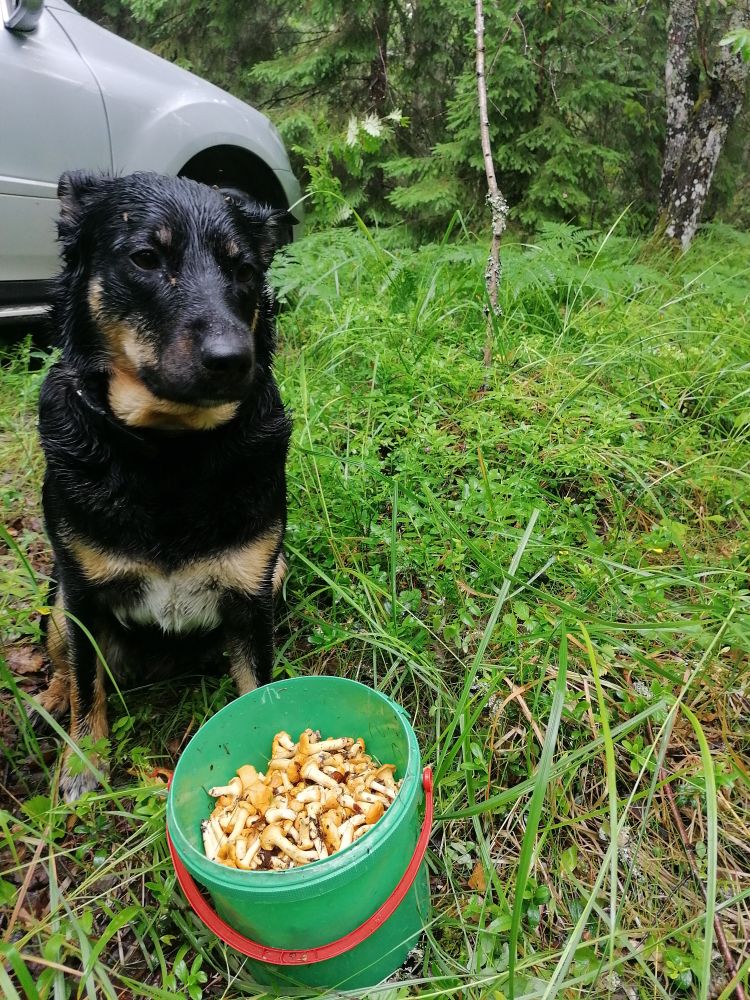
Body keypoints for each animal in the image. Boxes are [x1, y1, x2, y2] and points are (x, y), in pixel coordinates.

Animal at [33, 171, 294, 801]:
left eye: (243, 270)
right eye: (146, 258)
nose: (232, 358)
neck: (170, 449)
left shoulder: (253, 595)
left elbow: (256, 683)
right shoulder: (81, 596)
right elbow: (87, 684)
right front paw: (83, 763)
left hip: (278, 571)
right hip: (56, 601)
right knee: (65, 663)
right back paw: (48, 699)